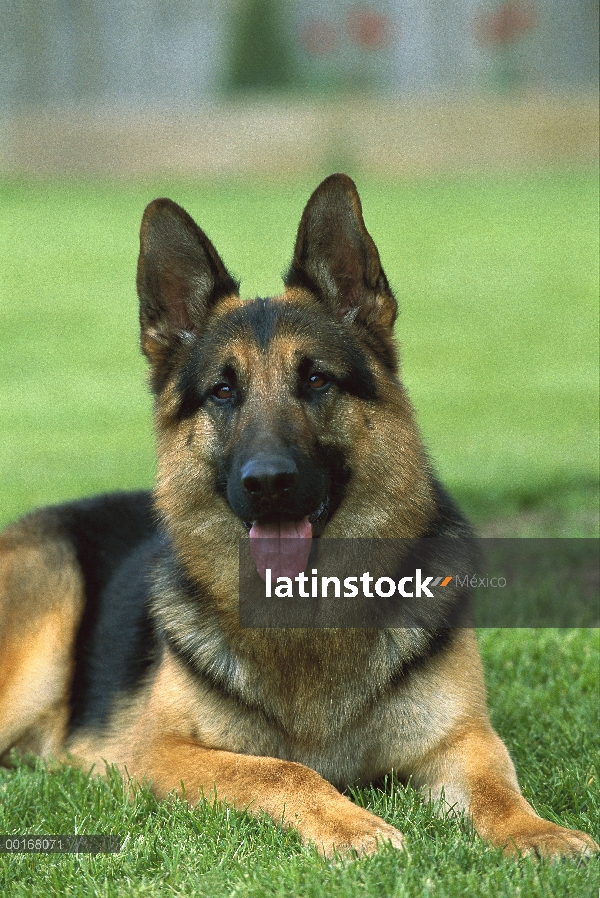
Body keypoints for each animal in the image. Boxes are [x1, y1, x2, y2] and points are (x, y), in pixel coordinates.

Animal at [0, 175, 596, 856]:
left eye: (315, 380)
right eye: (223, 391)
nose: (267, 483)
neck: (307, 615)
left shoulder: (462, 739)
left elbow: (499, 786)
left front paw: (538, 832)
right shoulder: (161, 755)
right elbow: (283, 769)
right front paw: (353, 825)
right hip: (49, 594)